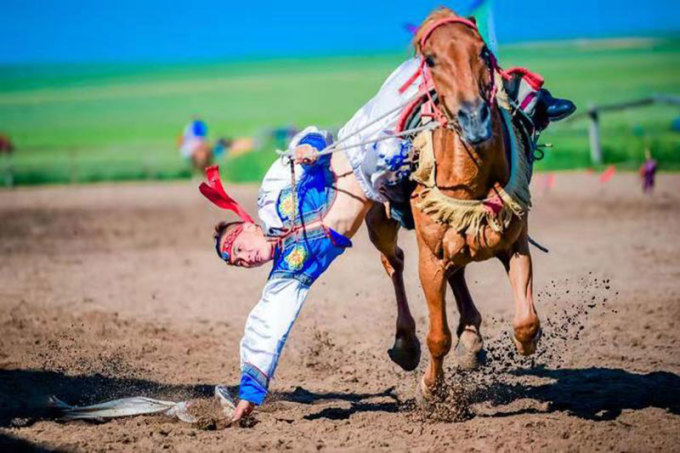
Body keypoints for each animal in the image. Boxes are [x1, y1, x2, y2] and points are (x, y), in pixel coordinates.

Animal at [366, 6, 540, 396]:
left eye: (483, 51)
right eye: (431, 59)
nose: (475, 119)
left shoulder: (516, 245)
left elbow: (526, 321)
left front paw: (520, 343)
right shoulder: (429, 261)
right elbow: (438, 336)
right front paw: (431, 389)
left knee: (456, 271)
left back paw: (472, 340)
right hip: (380, 224)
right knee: (394, 262)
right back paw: (406, 344)